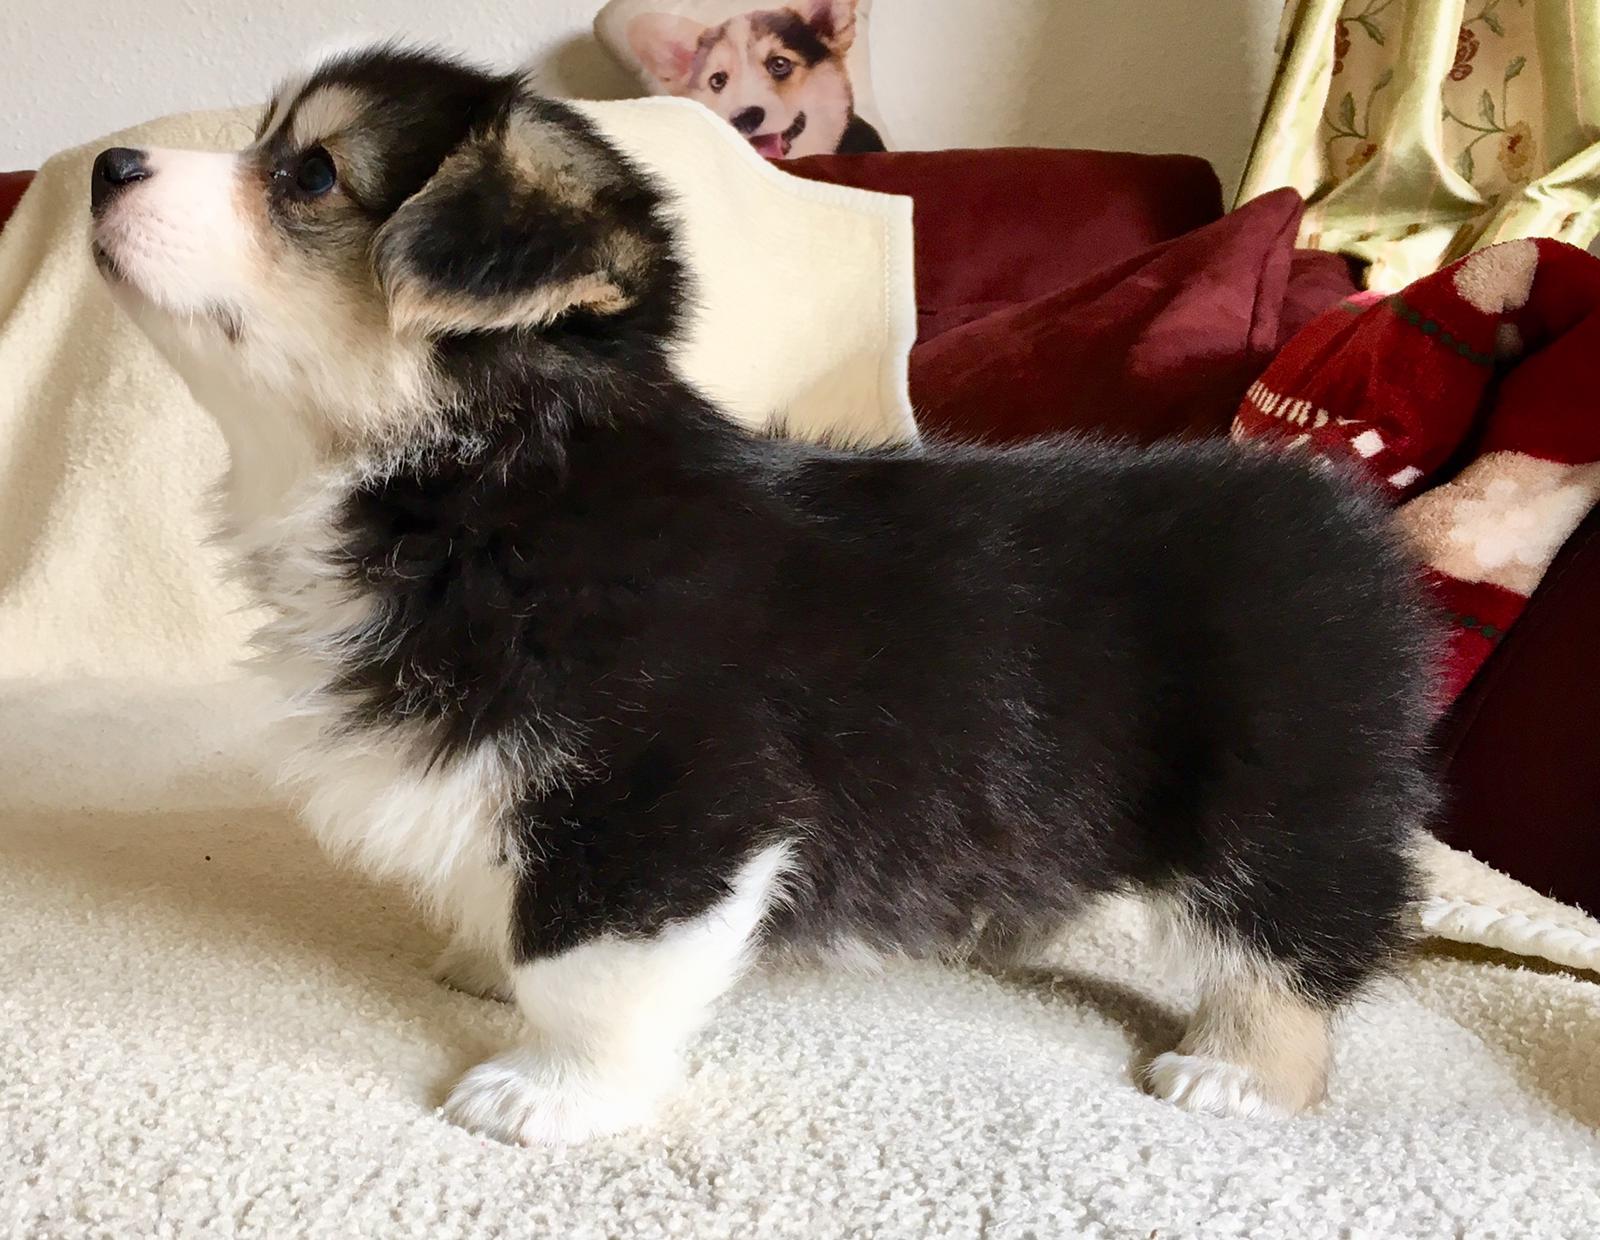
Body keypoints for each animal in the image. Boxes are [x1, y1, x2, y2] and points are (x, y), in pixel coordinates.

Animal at [91, 44, 1433, 1146]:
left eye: (310, 173)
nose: (105, 161)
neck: (482, 486)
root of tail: (1345, 525)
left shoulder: (664, 804)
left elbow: (587, 970)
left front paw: (544, 1091)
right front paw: (484, 950)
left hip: (1278, 807)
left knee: (1295, 943)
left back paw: (1237, 1071)